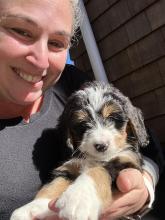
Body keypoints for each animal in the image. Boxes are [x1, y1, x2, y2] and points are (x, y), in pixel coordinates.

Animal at [10, 81, 149, 220]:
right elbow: (54, 184)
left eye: (112, 118)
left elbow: (98, 170)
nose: (101, 145)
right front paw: (32, 208)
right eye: (82, 124)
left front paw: (79, 198)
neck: (95, 158)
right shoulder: (70, 166)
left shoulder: (126, 162)